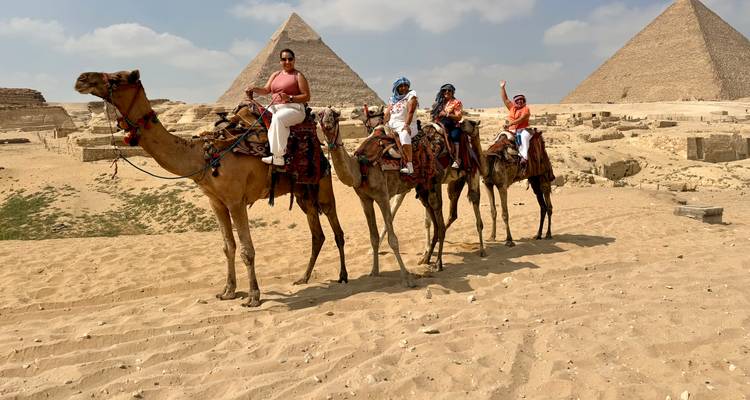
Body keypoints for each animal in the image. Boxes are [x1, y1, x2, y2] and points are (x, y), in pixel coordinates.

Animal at [74, 70, 347, 307]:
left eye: (118, 78)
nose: (81, 79)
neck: (204, 156)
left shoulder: (236, 201)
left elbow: (247, 250)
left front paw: (253, 296)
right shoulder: (216, 202)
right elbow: (228, 247)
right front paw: (228, 291)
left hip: (323, 186)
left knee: (337, 231)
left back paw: (343, 276)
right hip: (303, 193)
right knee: (317, 235)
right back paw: (304, 277)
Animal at [316, 107, 446, 287]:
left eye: (335, 116)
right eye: (320, 115)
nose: (328, 123)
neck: (360, 168)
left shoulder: (383, 197)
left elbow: (393, 240)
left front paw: (407, 278)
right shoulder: (365, 200)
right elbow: (373, 237)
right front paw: (374, 271)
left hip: (433, 183)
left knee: (440, 222)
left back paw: (438, 263)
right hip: (422, 189)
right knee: (432, 217)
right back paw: (426, 259)